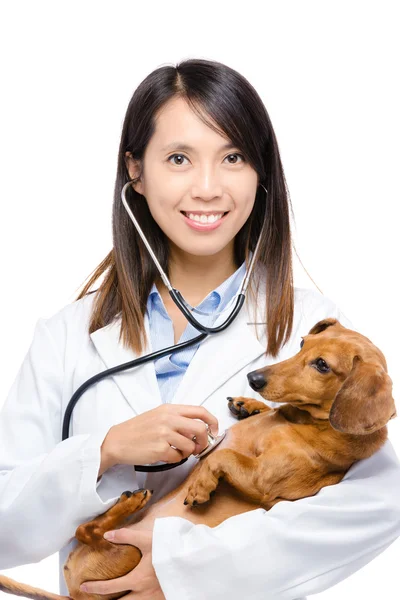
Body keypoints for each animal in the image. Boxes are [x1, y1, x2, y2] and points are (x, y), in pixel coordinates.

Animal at [0, 316, 396, 596]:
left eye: (322, 365)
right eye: (301, 343)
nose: (253, 379)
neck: (306, 422)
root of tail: (75, 594)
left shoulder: (264, 480)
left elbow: (223, 457)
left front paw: (201, 486)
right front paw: (248, 406)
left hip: (131, 553)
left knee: (89, 531)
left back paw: (129, 503)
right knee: (82, 529)